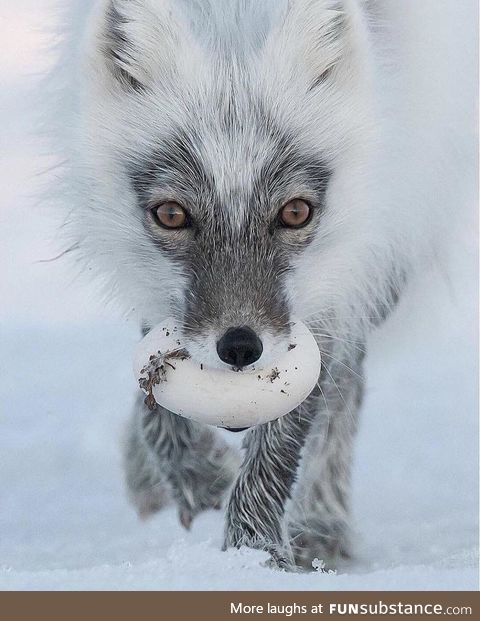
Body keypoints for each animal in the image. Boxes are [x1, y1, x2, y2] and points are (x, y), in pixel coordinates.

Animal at [48, 0, 476, 568]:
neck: (232, 16)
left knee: (347, 388)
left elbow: (293, 428)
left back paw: (321, 525)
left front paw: (253, 556)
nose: (239, 347)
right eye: (171, 214)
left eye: (295, 212)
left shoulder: (340, 276)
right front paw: (197, 477)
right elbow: (154, 385)